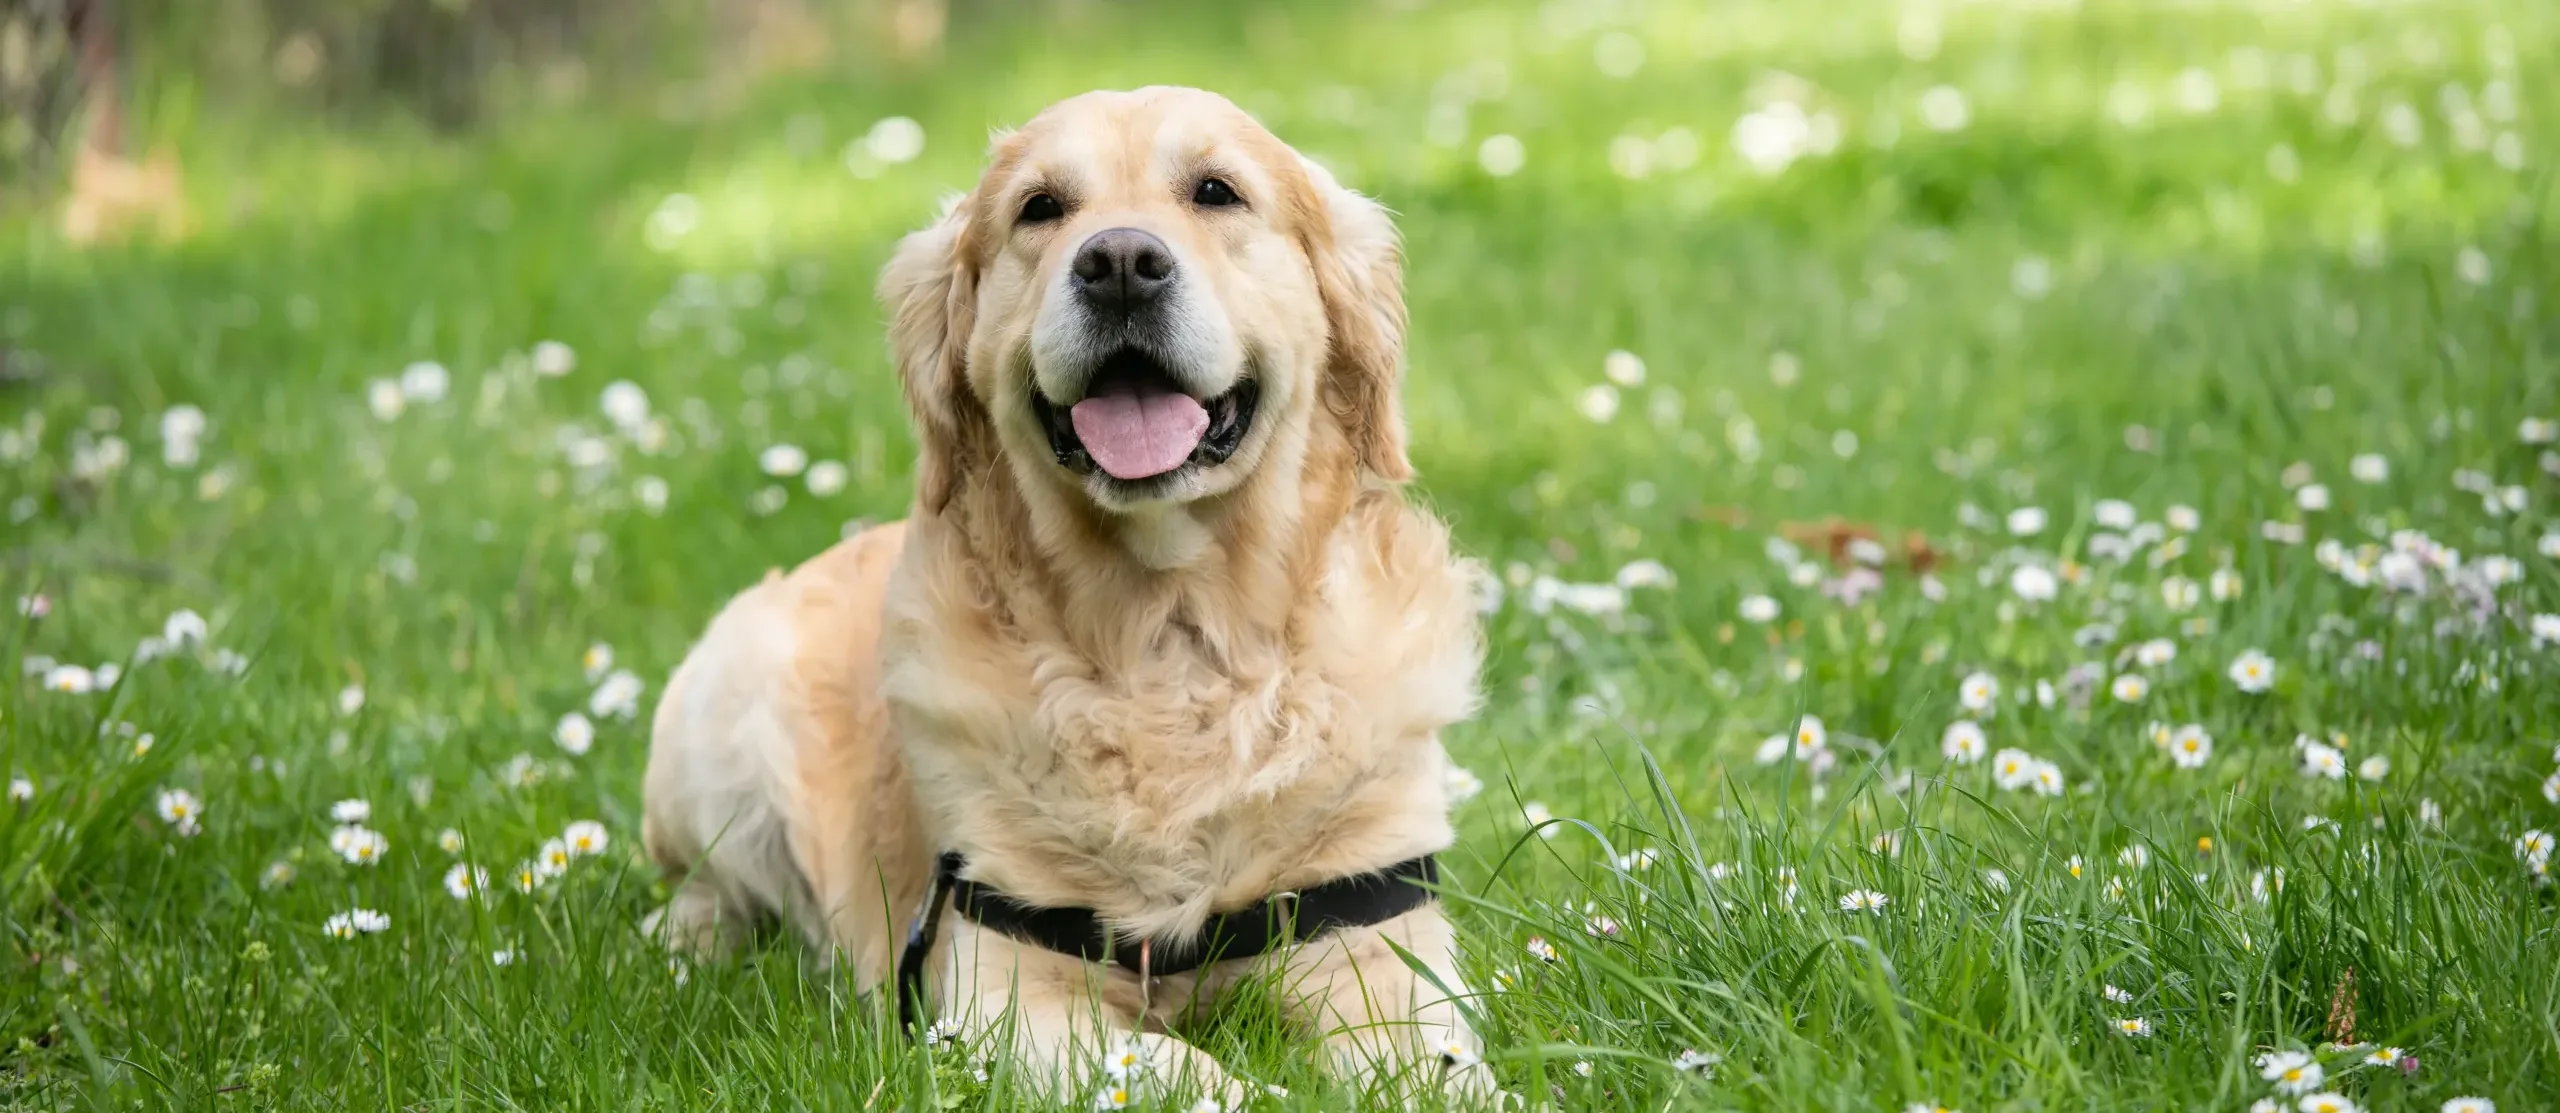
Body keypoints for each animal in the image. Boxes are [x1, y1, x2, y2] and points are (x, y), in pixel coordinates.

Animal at [640, 85, 1495, 1100]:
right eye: (1040, 209)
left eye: (1217, 191)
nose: (1120, 263)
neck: (1170, 637)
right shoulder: (1004, 991)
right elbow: (1182, 1068)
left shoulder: (1378, 944)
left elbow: (1439, 1066)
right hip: (719, 716)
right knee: (704, 886)